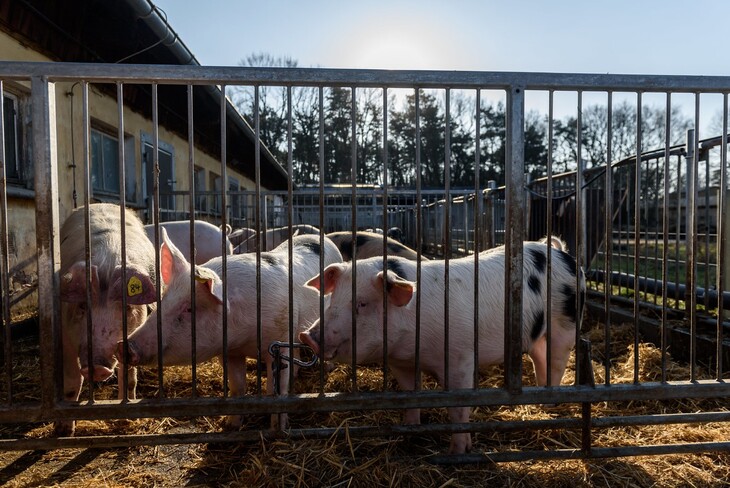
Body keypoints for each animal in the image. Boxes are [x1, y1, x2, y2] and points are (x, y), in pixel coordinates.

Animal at [57, 204, 159, 436]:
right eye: (83, 306)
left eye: (127, 307)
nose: (97, 365)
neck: (108, 265)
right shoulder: (65, 334)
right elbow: (71, 381)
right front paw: (64, 432)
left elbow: (129, 379)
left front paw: (126, 417)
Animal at [118, 233, 342, 428]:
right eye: (163, 301)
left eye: (190, 308)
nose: (124, 346)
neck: (245, 337)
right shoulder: (231, 352)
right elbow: (237, 387)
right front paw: (230, 425)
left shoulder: (279, 338)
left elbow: (276, 389)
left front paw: (279, 427)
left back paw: (328, 368)